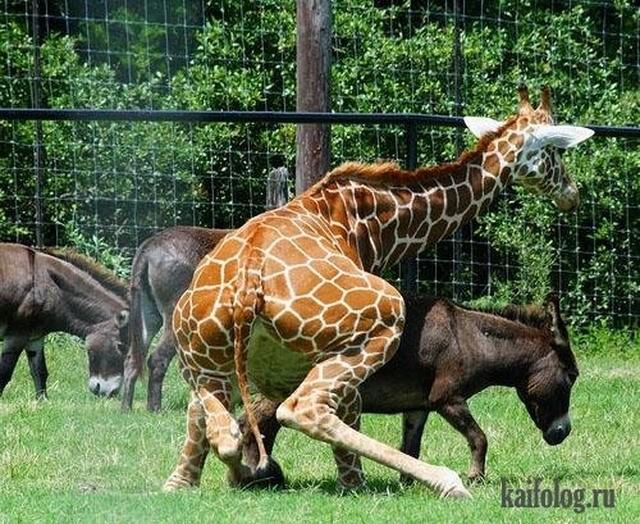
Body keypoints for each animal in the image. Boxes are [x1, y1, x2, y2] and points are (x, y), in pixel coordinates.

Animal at [166, 86, 596, 496]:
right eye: (555, 152)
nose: (571, 194)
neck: (379, 223)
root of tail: (249, 284)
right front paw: (354, 482)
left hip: (202, 356)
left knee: (220, 428)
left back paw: (210, 478)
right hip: (382, 321)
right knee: (302, 410)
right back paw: (436, 481)